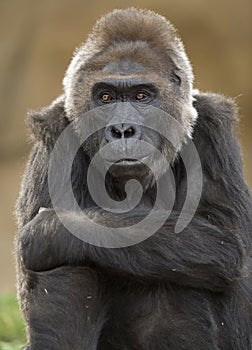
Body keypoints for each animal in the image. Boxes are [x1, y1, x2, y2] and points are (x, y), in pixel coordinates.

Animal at [15, 7, 252, 350]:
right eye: (105, 97)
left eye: (141, 96)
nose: (123, 130)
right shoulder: (56, 131)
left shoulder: (212, 128)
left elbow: (227, 239)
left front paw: (50, 230)